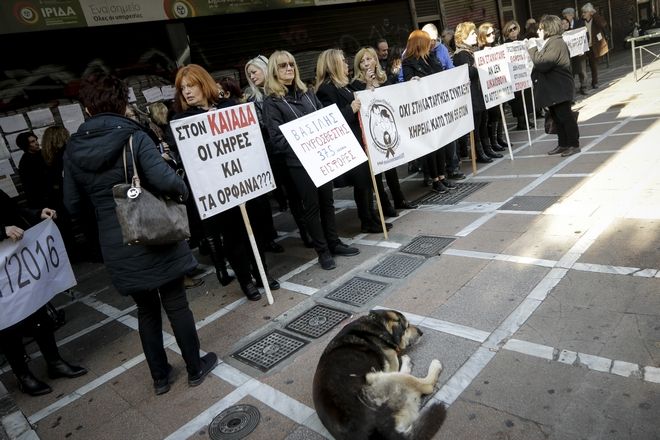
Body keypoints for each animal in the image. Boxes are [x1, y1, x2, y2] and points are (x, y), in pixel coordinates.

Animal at [312, 310, 446, 440]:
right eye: (407, 326)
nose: (421, 332)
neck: (377, 324)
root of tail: (379, 429)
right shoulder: (391, 364)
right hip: (379, 377)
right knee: (425, 386)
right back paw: (432, 365)